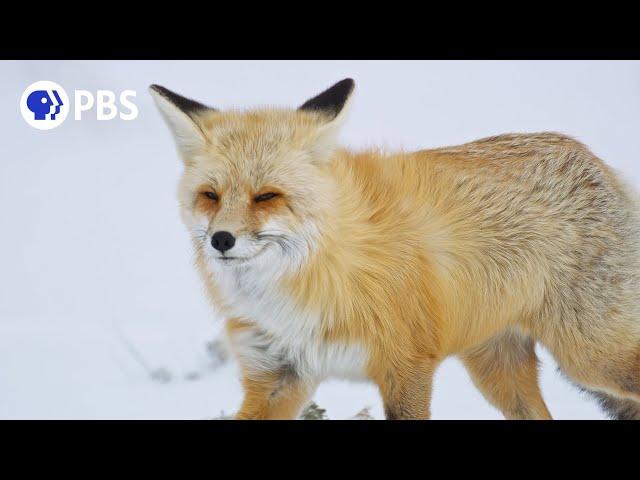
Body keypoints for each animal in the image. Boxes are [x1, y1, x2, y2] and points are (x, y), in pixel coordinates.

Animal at [151, 79, 640, 420]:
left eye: (267, 196)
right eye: (210, 196)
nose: (221, 240)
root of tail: (590, 157)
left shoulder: (406, 366)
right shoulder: (276, 373)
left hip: (591, 359)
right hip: (499, 373)